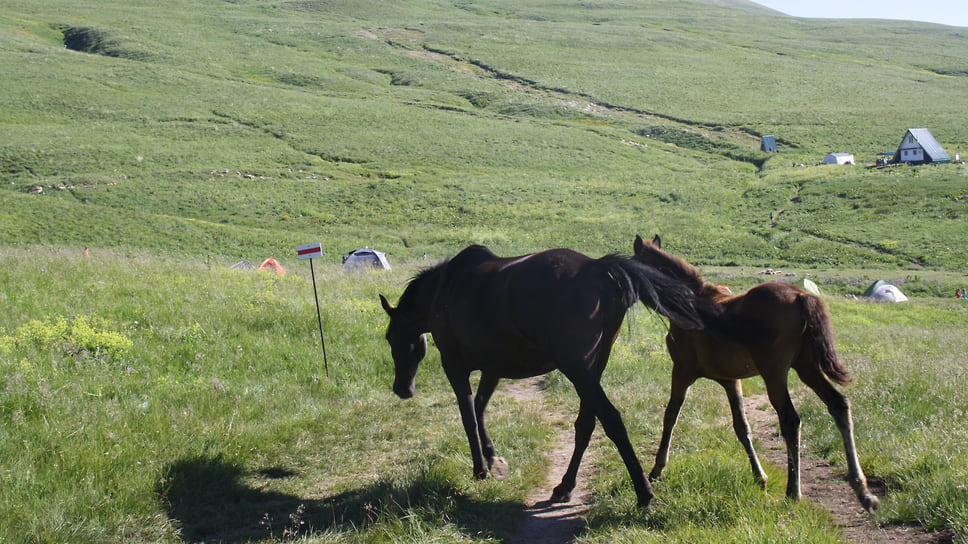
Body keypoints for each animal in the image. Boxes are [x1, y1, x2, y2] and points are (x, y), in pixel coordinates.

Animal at [378, 244, 720, 508]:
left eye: (391, 337)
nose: (402, 388)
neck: (445, 288)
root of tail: (597, 269)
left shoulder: (455, 365)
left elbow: (468, 416)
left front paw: (480, 469)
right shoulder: (493, 368)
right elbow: (480, 408)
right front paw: (493, 459)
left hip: (577, 369)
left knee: (611, 419)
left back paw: (643, 493)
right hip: (592, 369)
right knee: (586, 424)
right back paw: (565, 487)